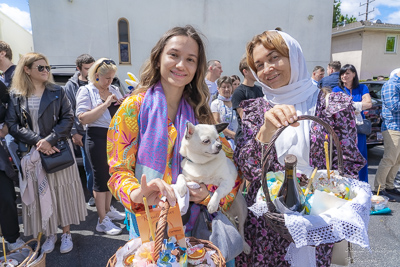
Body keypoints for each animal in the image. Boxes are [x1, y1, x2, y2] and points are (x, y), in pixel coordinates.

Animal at [176, 122, 248, 254]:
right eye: (206, 141)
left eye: (218, 139)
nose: (219, 146)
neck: (203, 164)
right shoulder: (191, 178)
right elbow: (181, 176)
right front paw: (181, 187)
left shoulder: (227, 182)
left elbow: (218, 191)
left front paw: (213, 204)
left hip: (241, 209)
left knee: (241, 228)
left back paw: (245, 245)